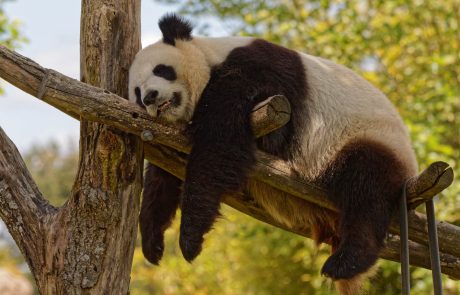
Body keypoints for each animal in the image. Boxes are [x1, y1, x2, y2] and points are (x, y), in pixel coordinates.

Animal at [127, 13, 418, 294]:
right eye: (137, 93)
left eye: (161, 70)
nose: (150, 97)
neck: (211, 58)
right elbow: (164, 175)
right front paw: (152, 241)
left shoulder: (251, 71)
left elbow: (220, 145)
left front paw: (190, 238)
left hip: (363, 138)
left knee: (366, 186)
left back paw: (347, 261)